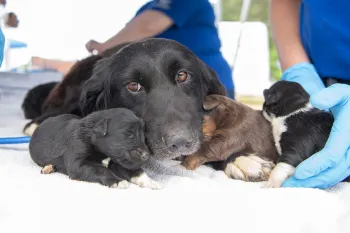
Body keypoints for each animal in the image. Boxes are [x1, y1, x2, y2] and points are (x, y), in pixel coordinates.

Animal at [28, 107, 163, 189]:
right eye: (127, 134)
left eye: (143, 135)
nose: (147, 156)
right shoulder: (78, 160)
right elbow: (101, 169)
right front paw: (117, 181)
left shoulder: (118, 161)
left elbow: (136, 171)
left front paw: (151, 182)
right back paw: (48, 167)